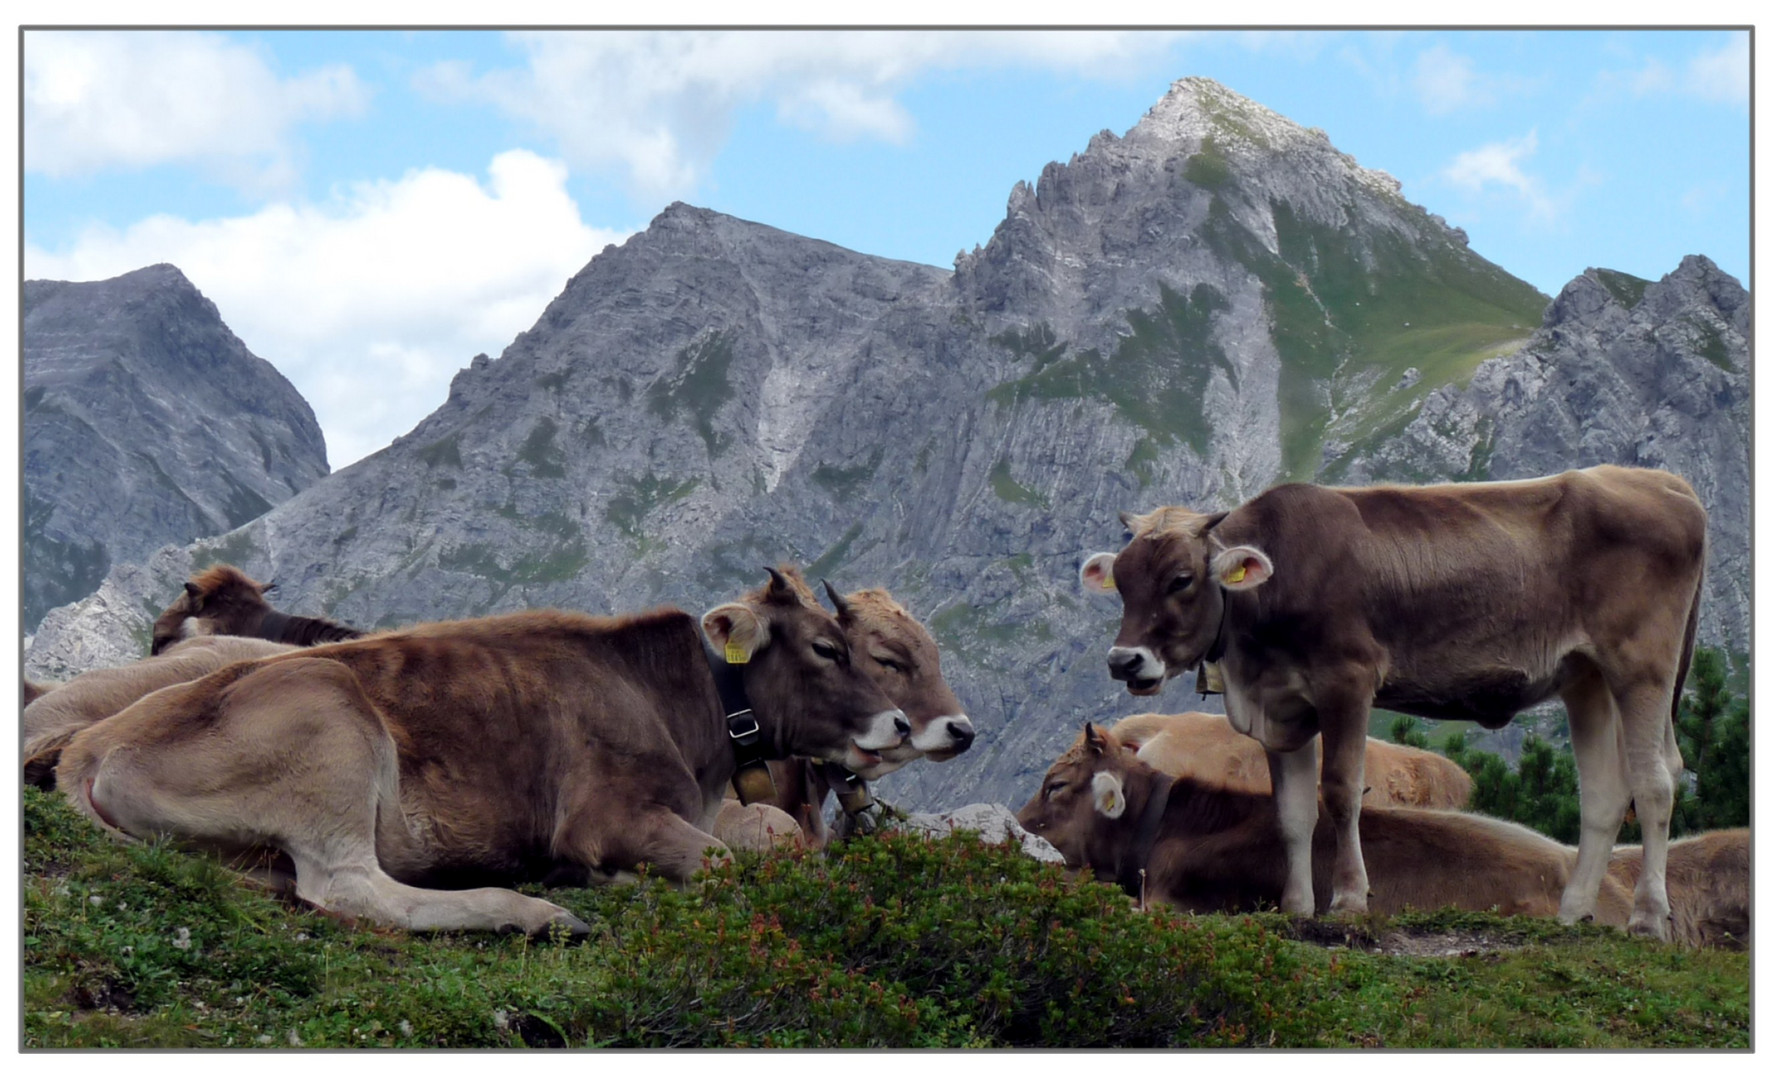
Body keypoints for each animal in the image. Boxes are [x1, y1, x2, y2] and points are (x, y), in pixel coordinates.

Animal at [60, 575, 909, 937]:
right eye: (826, 647)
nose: (902, 723)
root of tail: (92, 745)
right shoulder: (607, 817)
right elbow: (728, 864)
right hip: (329, 718)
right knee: (349, 887)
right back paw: (534, 912)